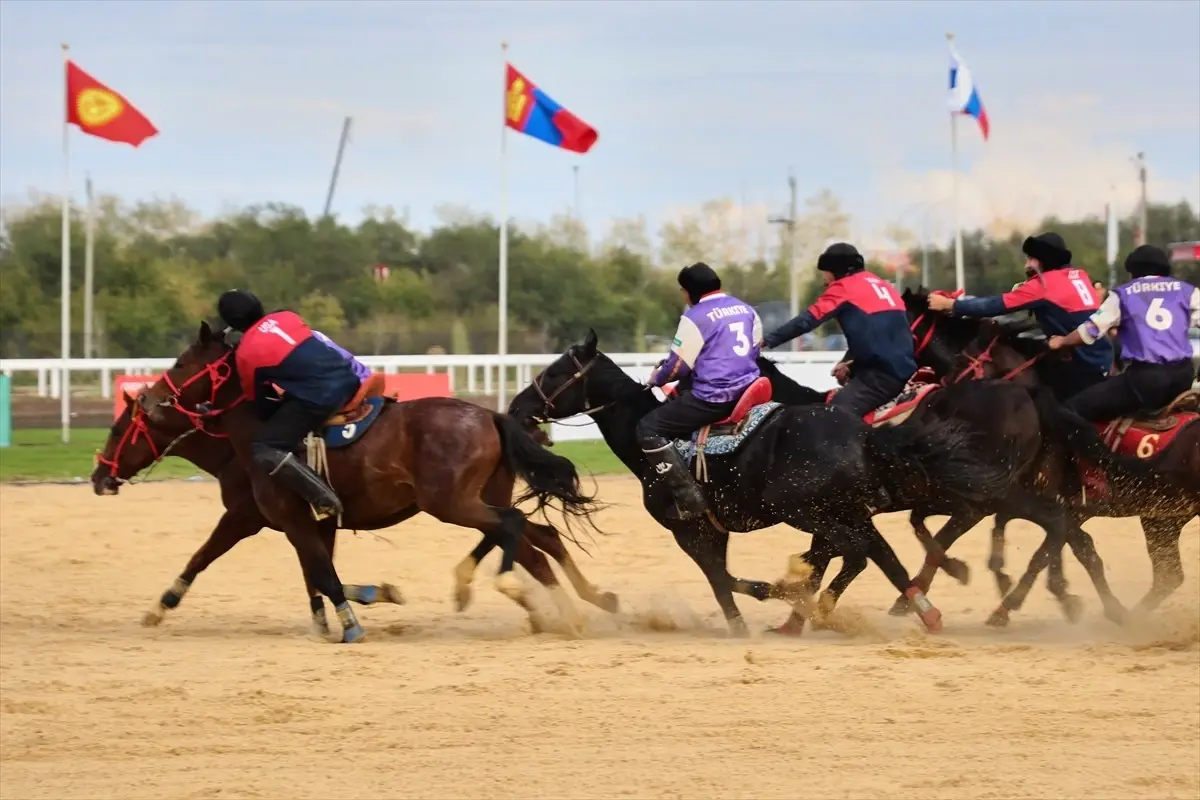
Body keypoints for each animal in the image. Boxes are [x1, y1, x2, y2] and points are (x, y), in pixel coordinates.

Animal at [136, 321, 614, 642]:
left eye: (182, 362)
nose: (146, 397)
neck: (259, 427)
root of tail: (491, 415)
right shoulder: (308, 522)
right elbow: (319, 573)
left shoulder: (289, 518)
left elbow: (321, 575)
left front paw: (352, 620)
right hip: (477, 500)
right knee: (534, 537)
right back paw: (571, 608)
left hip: (452, 503)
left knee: (515, 527)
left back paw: (519, 594)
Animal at [504, 328, 1003, 633]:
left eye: (556, 371)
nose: (516, 405)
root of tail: (859, 431)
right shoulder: (713, 529)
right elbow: (724, 576)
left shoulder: (690, 530)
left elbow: (720, 579)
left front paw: (754, 612)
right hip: (845, 510)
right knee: (882, 557)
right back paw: (918, 612)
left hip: (806, 510)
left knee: (857, 553)